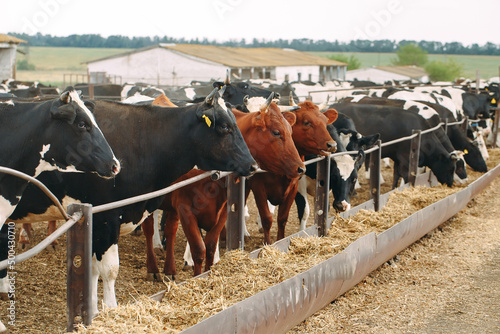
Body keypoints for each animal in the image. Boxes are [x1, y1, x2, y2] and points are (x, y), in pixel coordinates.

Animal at [8, 87, 258, 318]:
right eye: (224, 127)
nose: (253, 165)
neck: (143, 141)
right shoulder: (106, 218)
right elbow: (109, 270)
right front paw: (110, 309)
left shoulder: (94, 222)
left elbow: (92, 270)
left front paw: (94, 312)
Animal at [141, 97, 304, 280]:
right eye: (276, 132)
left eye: (291, 130)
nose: (300, 168)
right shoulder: (186, 210)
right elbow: (199, 249)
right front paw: (197, 277)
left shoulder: (223, 210)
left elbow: (211, 246)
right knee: (149, 230)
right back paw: (153, 269)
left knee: (170, 231)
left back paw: (169, 270)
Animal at [248, 100, 338, 244]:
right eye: (307, 122)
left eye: (325, 122)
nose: (332, 145)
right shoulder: (258, 187)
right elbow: (267, 218)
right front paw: (267, 243)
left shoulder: (293, 187)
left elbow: (282, 218)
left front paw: (280, 240)